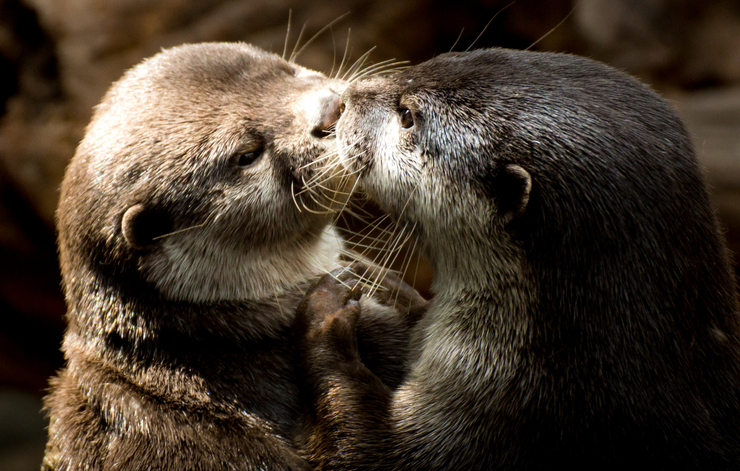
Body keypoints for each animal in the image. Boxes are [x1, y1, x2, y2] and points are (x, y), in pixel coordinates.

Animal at [294, 48, 740, 471]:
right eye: (433, 61)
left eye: (407, 116)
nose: (343, 99)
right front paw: (380, 284)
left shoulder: (495, 412)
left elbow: (371, 450)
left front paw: (328, 312)